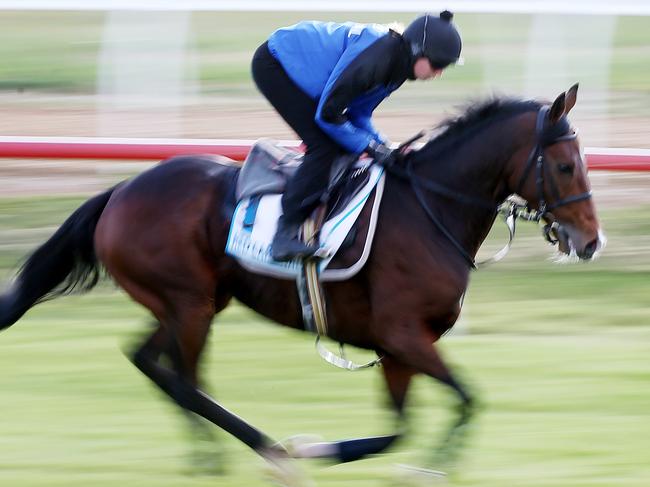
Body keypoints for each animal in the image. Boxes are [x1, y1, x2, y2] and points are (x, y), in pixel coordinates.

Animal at [0, 85, 600, 480]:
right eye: (565, 166)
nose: (592, 241)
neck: (429, 209)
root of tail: (121, 191)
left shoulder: (399, 348)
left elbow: (401, 428)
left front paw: (334, 451)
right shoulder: (404, 334)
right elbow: (467, 400)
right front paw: (403, 465)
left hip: (193, 301)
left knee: (149, 361)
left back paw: (218, 454)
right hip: (189, 303)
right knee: (187, 381)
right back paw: (262, 450)